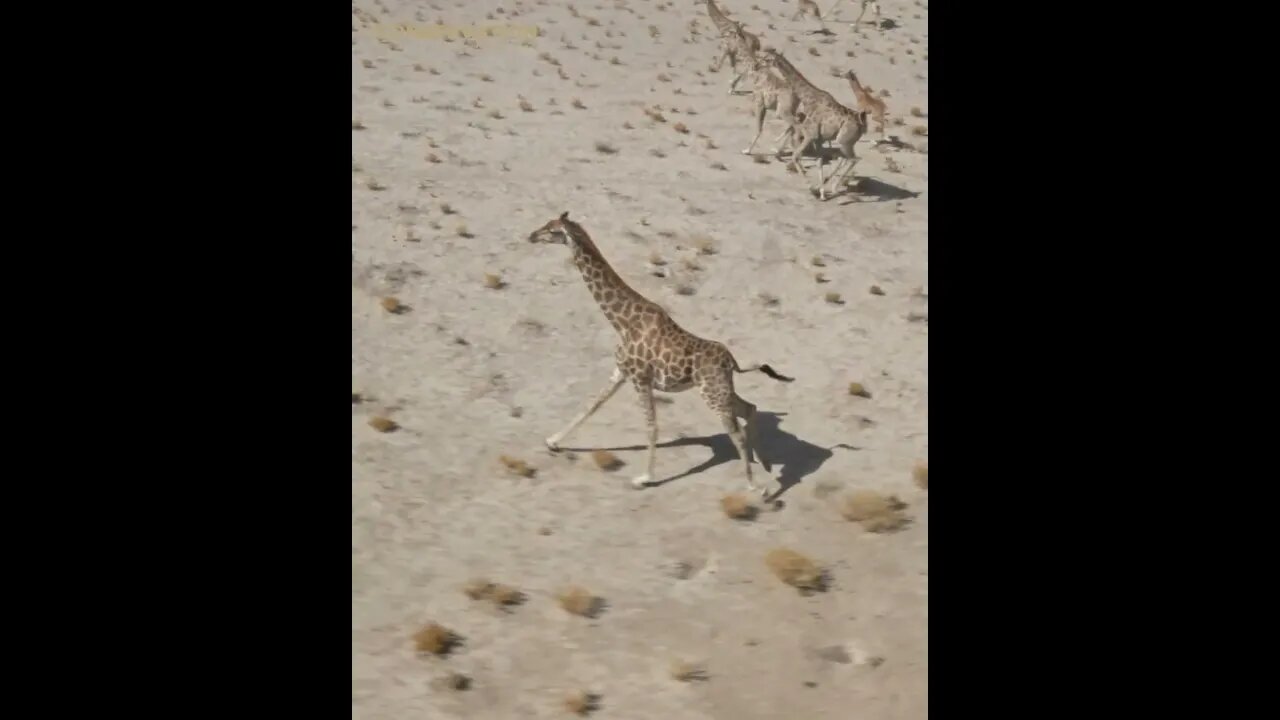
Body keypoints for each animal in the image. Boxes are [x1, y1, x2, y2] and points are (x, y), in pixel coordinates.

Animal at [522, 210, 788, 497]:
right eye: (546, 224)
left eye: (552, 230)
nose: (531, 235)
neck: (622, 322)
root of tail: (732, 362)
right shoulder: (621, 371)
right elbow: (592, 405)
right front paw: (552, 441)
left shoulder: (641, 379)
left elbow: (651, 427)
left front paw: (644, 478)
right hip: (720, 390)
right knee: (750, 408)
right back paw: (766, 464)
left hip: (712, 394)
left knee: (737, 433)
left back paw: (755, 487)